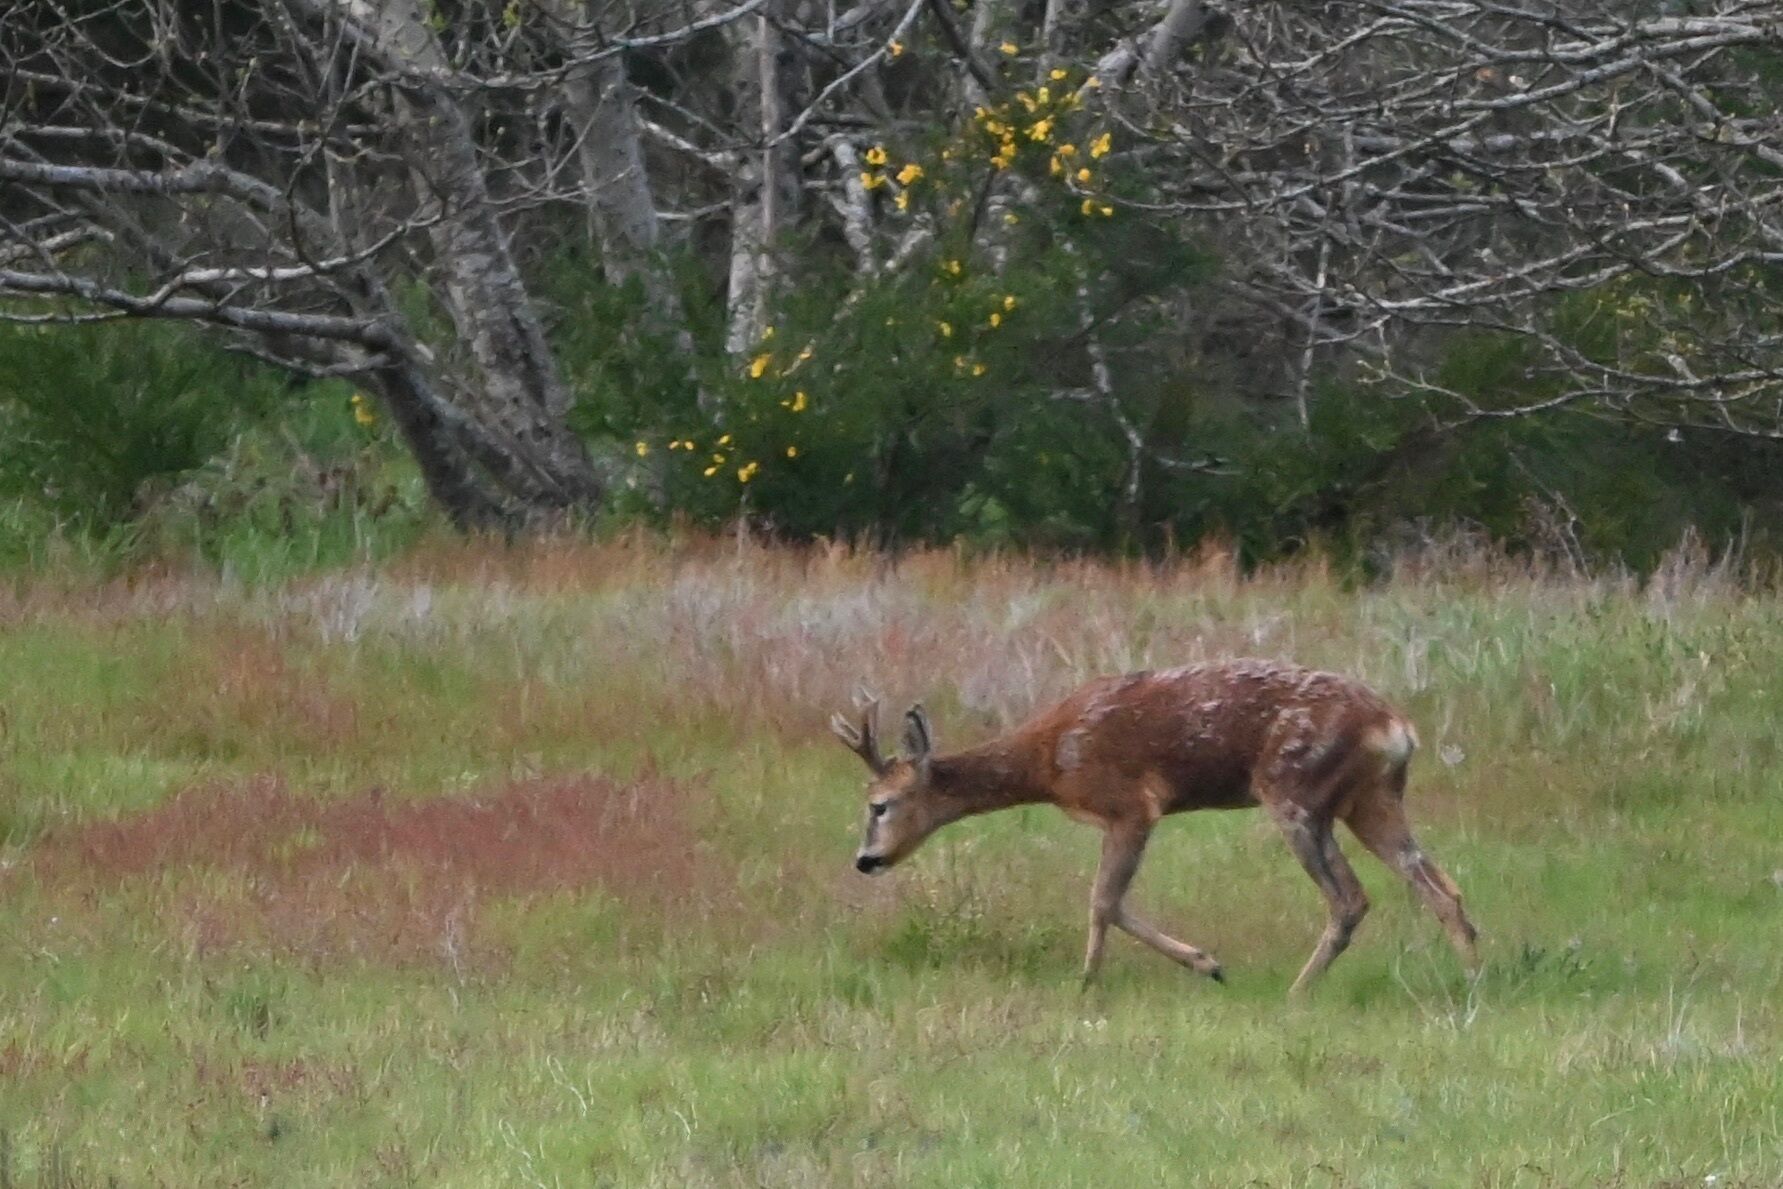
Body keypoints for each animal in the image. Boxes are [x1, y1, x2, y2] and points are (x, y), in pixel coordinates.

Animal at [830, 659, 1480, 995]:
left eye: (880, 804)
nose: (865, 860)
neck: (1050, 761)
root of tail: (1398, 728)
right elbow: (1108, 901)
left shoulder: (1130, 804)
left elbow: (1103, 901)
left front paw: (1096, 980)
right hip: (1370, 799)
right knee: (1440, 885)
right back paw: (1473, 978)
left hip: (1296, 792)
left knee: (1350, 898)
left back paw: (1298, 991)